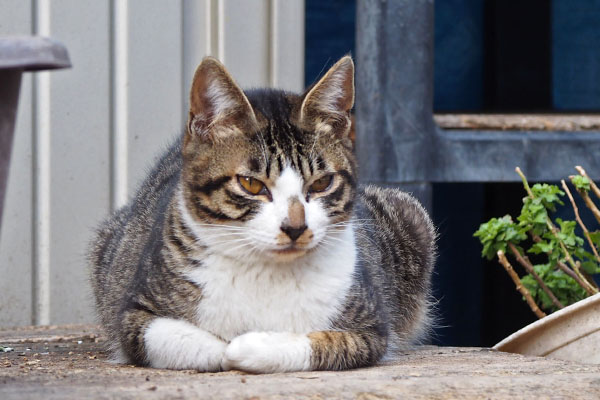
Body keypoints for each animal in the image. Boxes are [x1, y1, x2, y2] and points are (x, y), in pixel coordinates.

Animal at [89, 54, 436, 374]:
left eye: (321, 183)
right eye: (251, 184)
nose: (295, 227)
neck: (266, 271)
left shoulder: (371, 328)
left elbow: (325, 342)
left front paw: (253, 345)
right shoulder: (134, 315)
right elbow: (185, 341)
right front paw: (225, 347)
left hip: (412, 217)